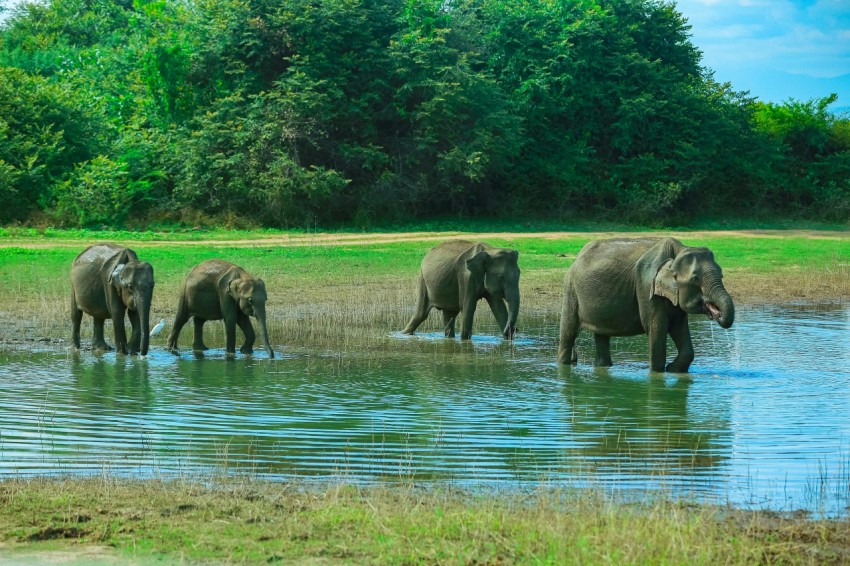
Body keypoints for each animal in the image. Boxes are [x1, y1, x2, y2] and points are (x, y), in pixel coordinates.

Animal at [556, 239, 736, 372]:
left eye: (722, 275)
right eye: (695, 278)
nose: (717, 313)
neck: (679, 251)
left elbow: (679, 328)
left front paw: (672, 369)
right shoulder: (646, 285)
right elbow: (656, 328)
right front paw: (658, 373)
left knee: (601, 335)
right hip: (570, 289)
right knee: (568, 332)